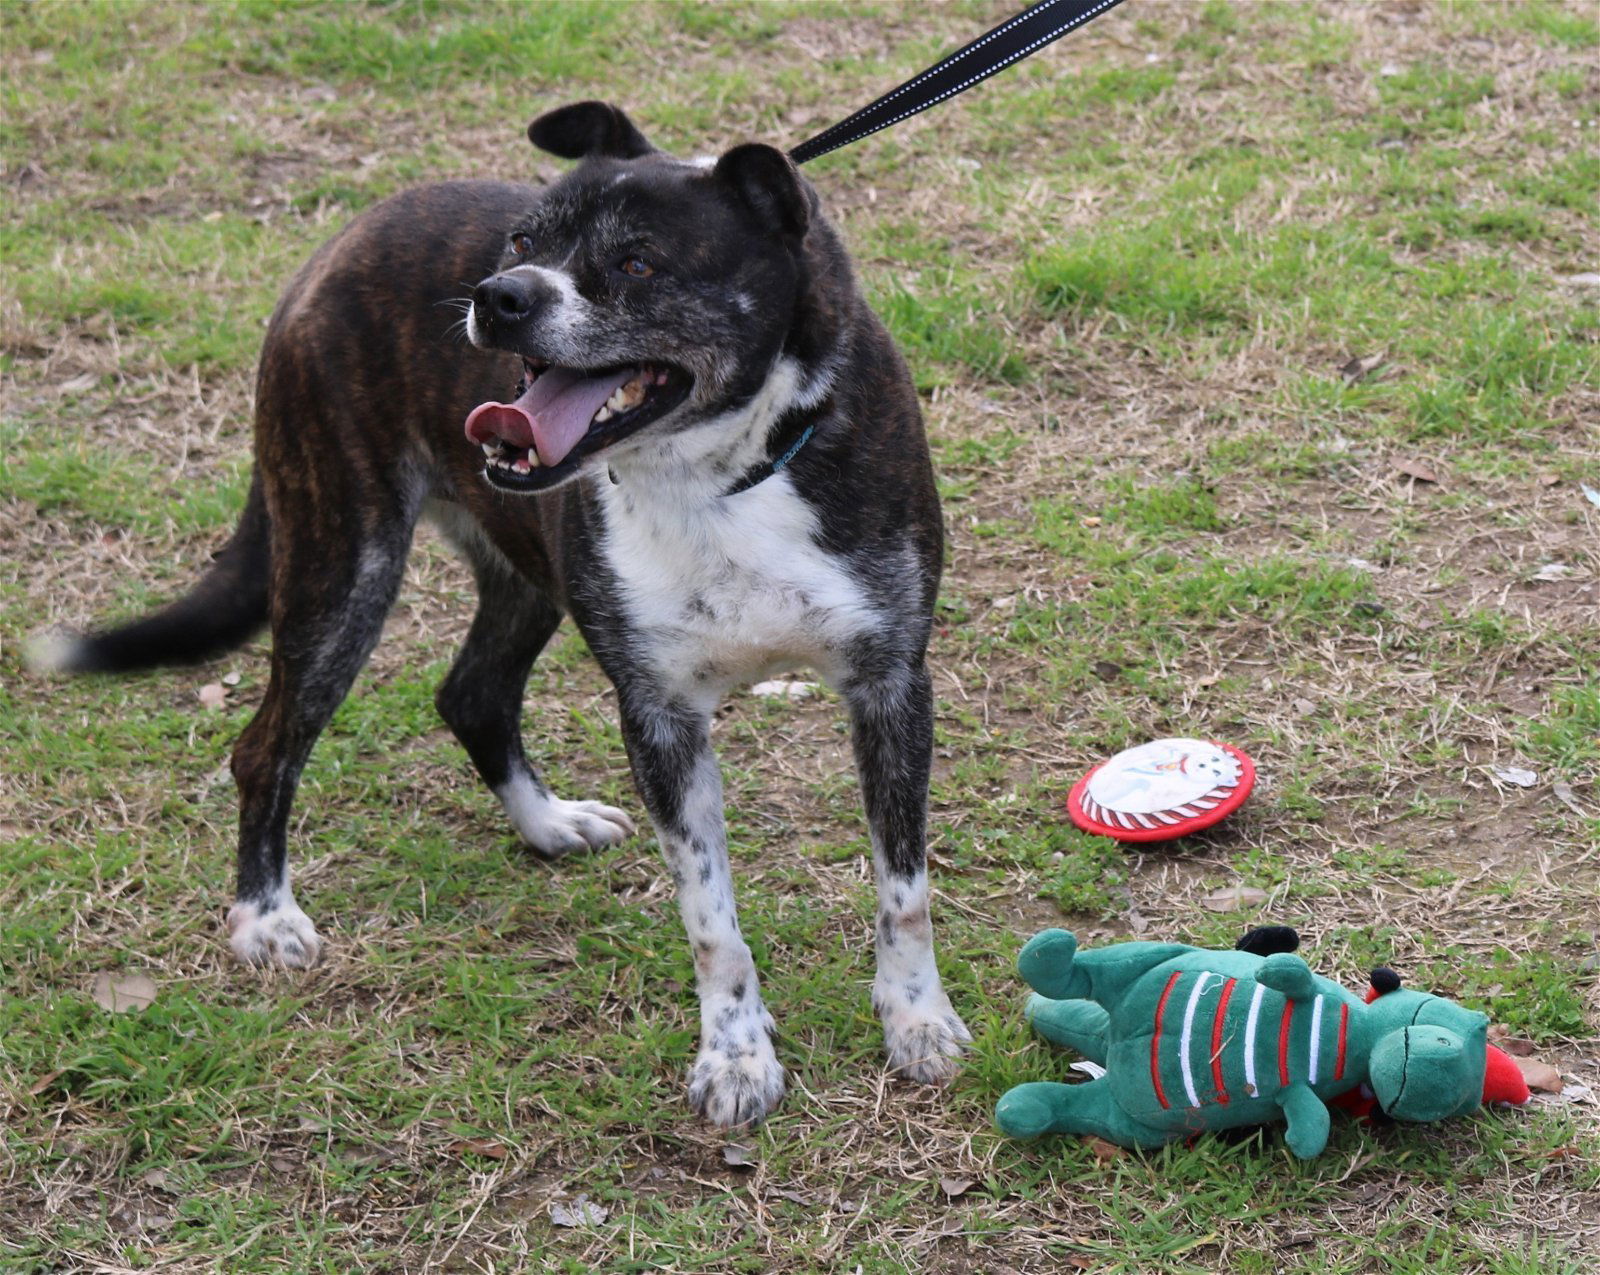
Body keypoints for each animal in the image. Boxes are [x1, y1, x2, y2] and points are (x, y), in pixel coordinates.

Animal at [31, 101, 966, 1126]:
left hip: (517, 570)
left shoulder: (889, 684)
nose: (499, 295)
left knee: (472, 693)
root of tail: (340, 241)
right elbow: (710, 916)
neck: (721, 474)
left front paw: (916, 1020)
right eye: (525, 240)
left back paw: (547, 823)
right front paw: (735, 1055)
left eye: (639, 262)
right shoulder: (661, 716)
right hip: (340, 562)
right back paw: (265, 916)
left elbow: (904, 889)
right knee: (266, 747)